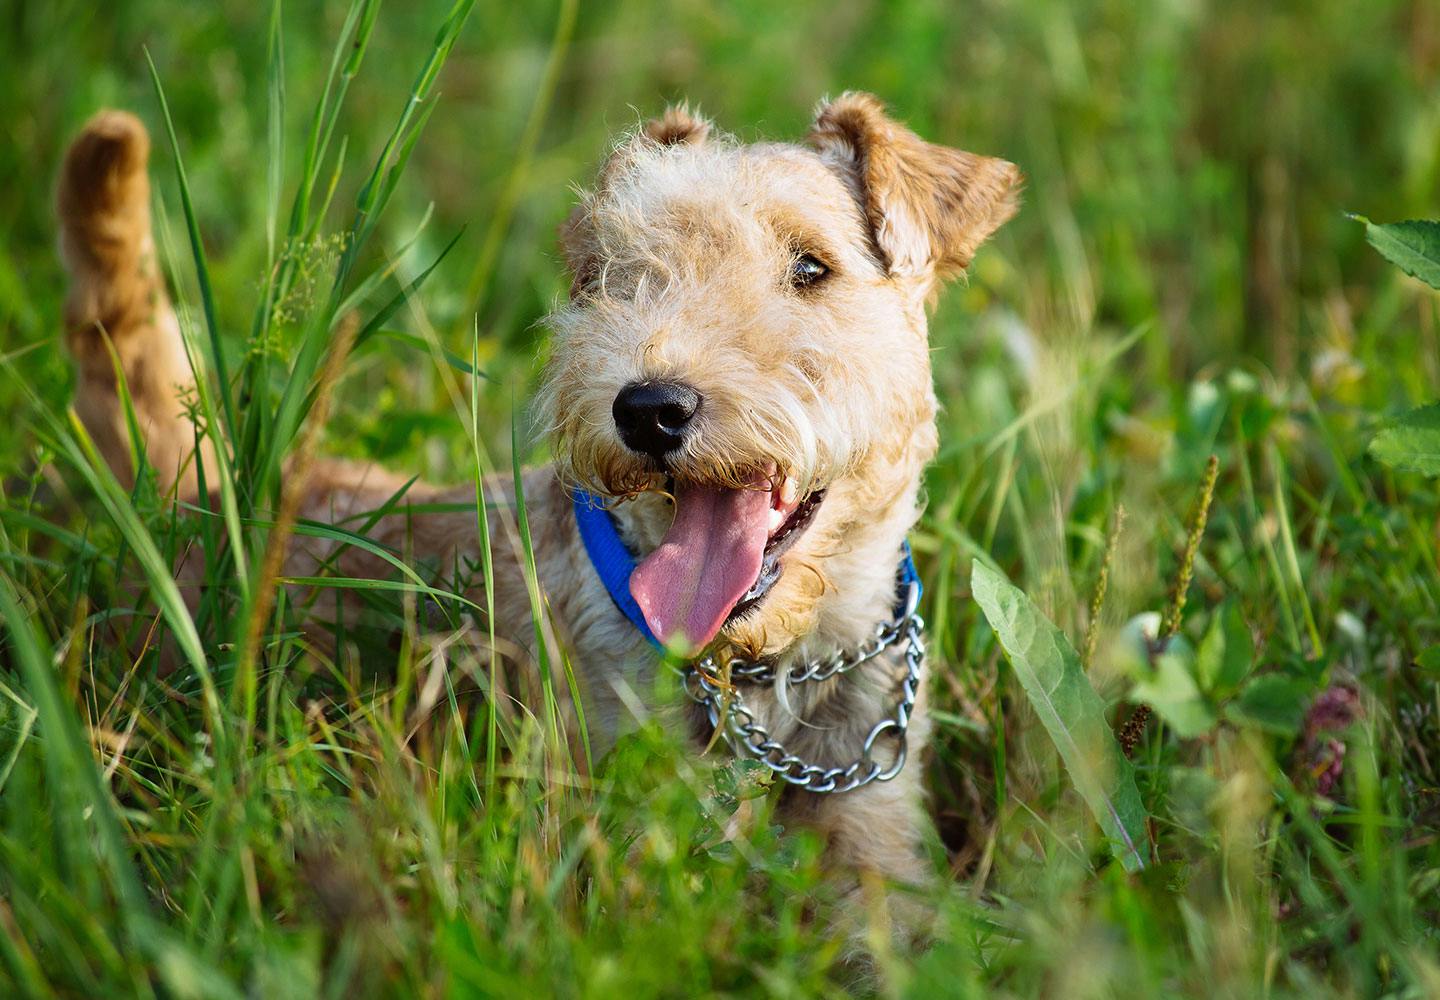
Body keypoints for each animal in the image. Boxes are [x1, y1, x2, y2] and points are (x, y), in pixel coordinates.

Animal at [59, 97, 1025, 899]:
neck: (759, 676)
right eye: (609, 274)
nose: (649, 408)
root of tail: (193, 492)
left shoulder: (874, 841)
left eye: (811, 267)